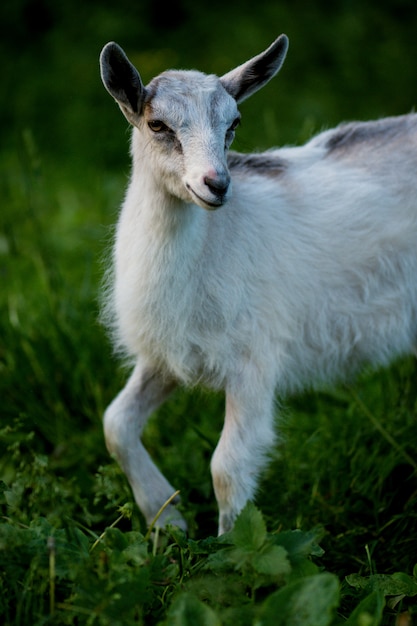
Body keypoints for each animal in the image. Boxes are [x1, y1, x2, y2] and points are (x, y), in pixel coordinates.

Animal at [99, 35, 416, 532]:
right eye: (157, 124)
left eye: (234, 124)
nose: (216, 184)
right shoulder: (167, 354)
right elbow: (116, 424)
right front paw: (167, 520)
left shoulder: (254, 358)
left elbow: (226, 467)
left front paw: (230, 544)